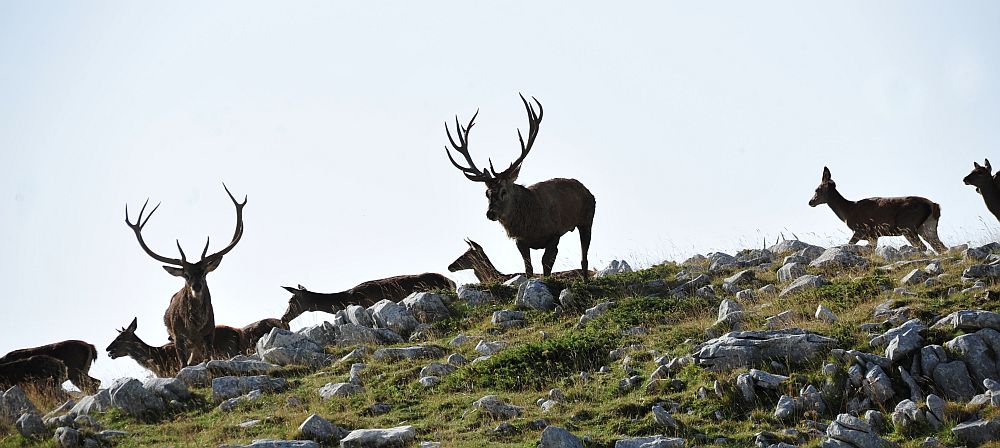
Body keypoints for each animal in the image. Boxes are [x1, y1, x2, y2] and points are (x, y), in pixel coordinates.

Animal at [125, 185, 246, 368]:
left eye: (203, 272)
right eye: (186, 275)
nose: (196, 286)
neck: (195, 327)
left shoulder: (209, 333)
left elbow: (207, 358)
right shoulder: (178, 337)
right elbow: (183, 364)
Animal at [808, 167, 948, 254]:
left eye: (817, 189)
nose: (810, 202)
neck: (848, 211)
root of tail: (934, 206)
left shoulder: (861, 229)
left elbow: (850, 244)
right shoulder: (873, 235)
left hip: (907, 225)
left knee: (923, 246)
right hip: (927, 227)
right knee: (941, 247)